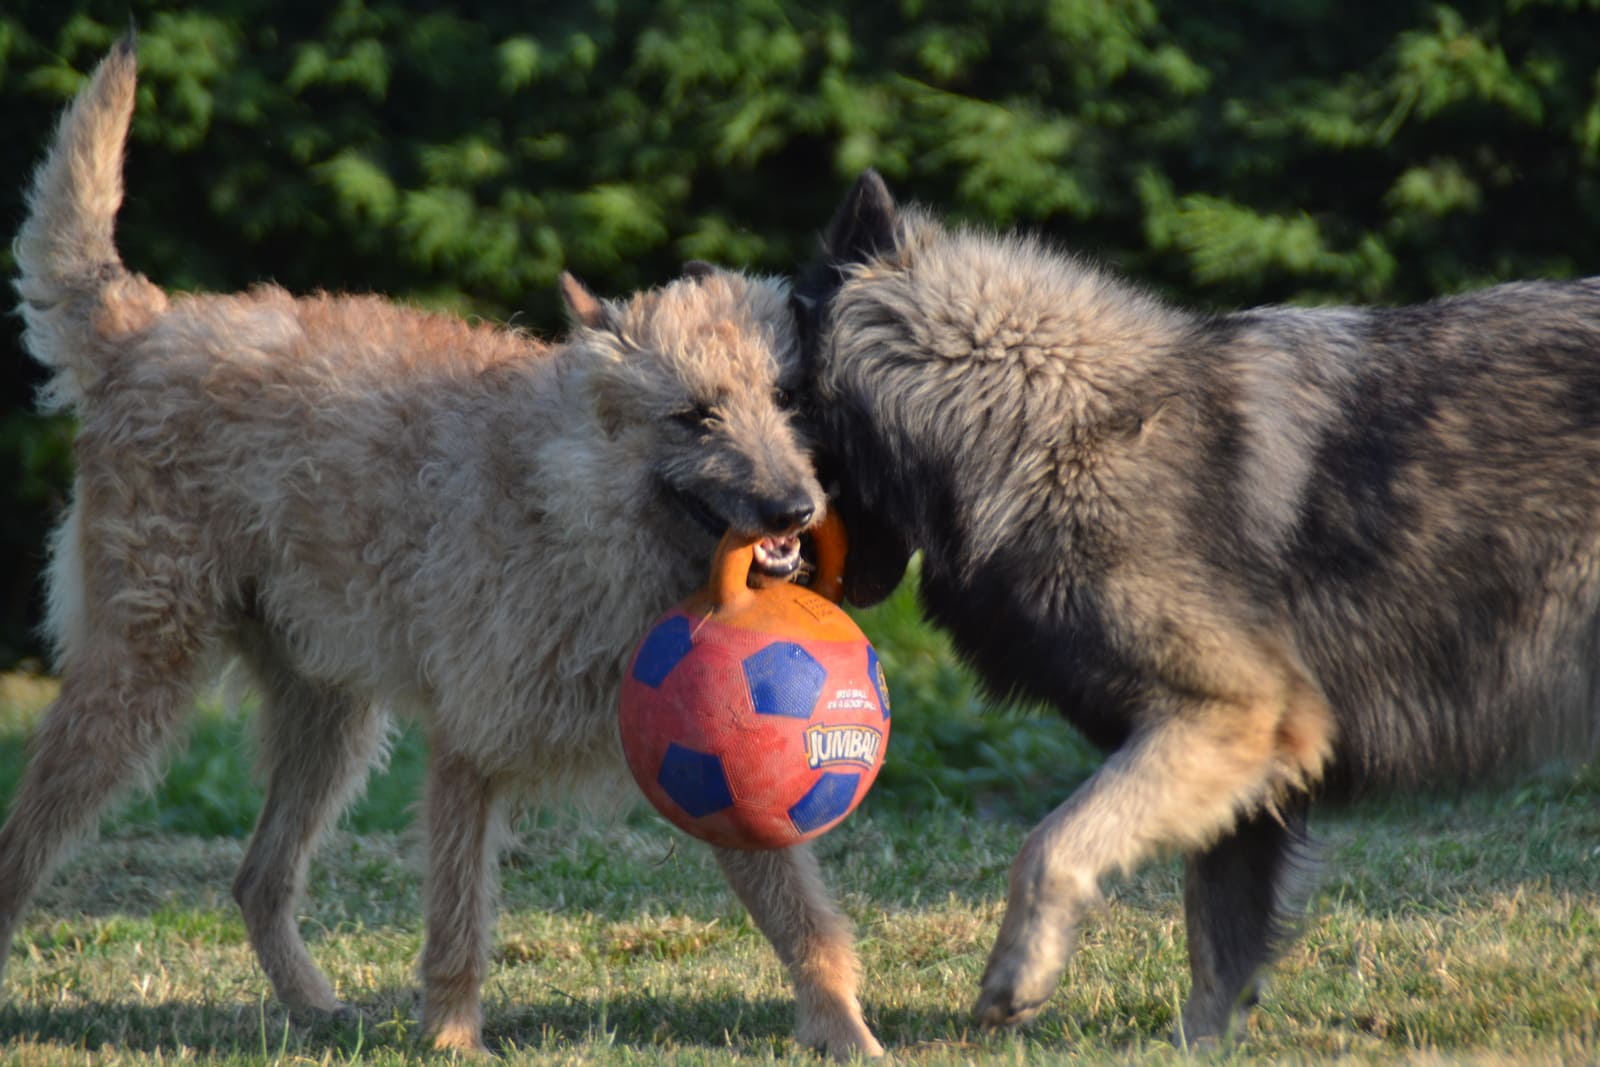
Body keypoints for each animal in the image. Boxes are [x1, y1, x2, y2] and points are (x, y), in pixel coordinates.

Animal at [0, 42, 885, 1059]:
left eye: (786, 399)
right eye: (695, 415)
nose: (797, 507)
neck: (577, 503)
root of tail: (142, 324)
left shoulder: (722, 785)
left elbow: (800, 916)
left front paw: (845, 1028)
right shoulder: (472, 742)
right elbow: (458, 919)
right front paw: (454, 1039)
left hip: (327, 717)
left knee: (258, 877)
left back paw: (314, 1007)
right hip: (133, 686)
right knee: (23, 850)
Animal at [795, 170, 1600, 1043]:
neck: (1048, 426)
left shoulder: (1230, 716)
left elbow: (1051, 843)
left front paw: (1019, 974)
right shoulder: (1245, 779)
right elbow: (1218, 941)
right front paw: (1197, 1046)